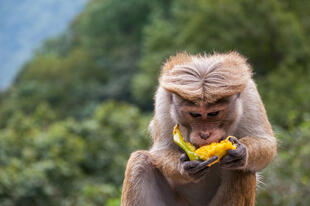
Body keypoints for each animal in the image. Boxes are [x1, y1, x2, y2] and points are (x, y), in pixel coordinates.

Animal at [120, 52, 276, 206]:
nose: (205, 134)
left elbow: (265, 141)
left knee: (240, 171)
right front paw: (185, 167)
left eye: (213, 113)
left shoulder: (250, 93)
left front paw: (241, 153)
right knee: (140, 162)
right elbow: (162, 149)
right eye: (195, 114)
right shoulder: (163, 99)